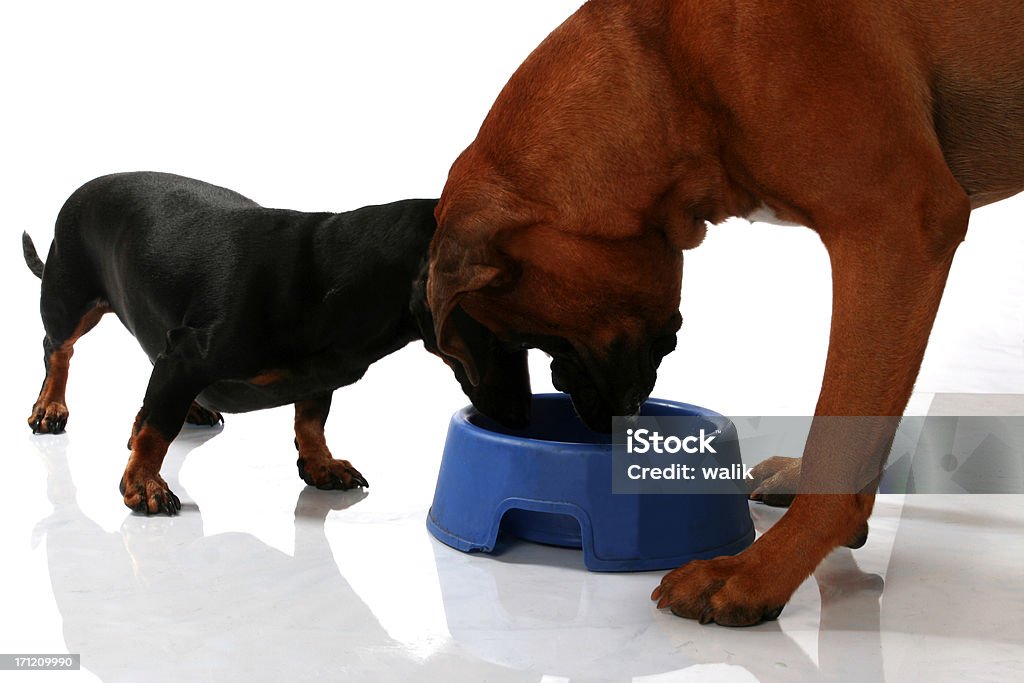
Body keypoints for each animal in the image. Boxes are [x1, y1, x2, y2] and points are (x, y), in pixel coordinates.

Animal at [24, 174, 528, 516]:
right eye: (500, 329)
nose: (521, 418)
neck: (332, 276)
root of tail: (85, 187)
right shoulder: (185, 356)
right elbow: (157, 429)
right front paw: (144, 483)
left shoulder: (318, 376)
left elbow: (311, 420)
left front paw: (321, 465)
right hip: (69, 302)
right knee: (58, 349)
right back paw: (50, 407)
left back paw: (191, 408)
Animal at [425, 0, 1024, 626]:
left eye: (542, 339)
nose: (592, 422)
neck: (675, 63)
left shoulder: (893, 230)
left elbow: (840, 434)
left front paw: (759, 571)